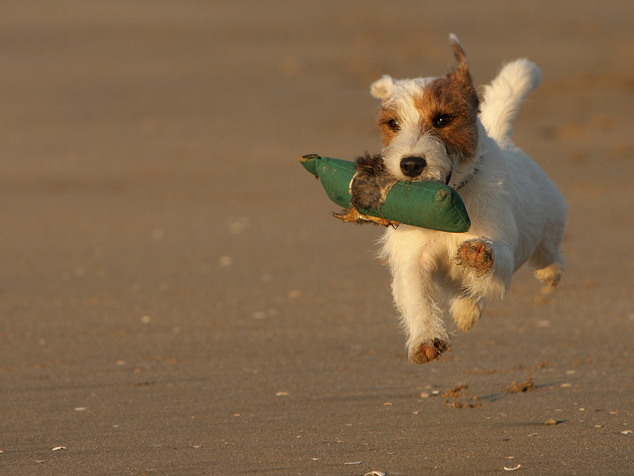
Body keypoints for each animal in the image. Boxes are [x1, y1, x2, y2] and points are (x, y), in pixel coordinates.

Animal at [344, 35, 564, 364]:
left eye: (442, 119)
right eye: (393, 124)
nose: (411, 164)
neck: (449, 203)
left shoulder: (500, 250)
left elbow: (492, 259)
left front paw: (477, 254)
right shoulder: (412, 258)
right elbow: (417, 296)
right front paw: (425, 340)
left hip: (549, 225)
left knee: (549, 254)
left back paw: (551, 272)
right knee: (466, 292)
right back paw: (465, 311)